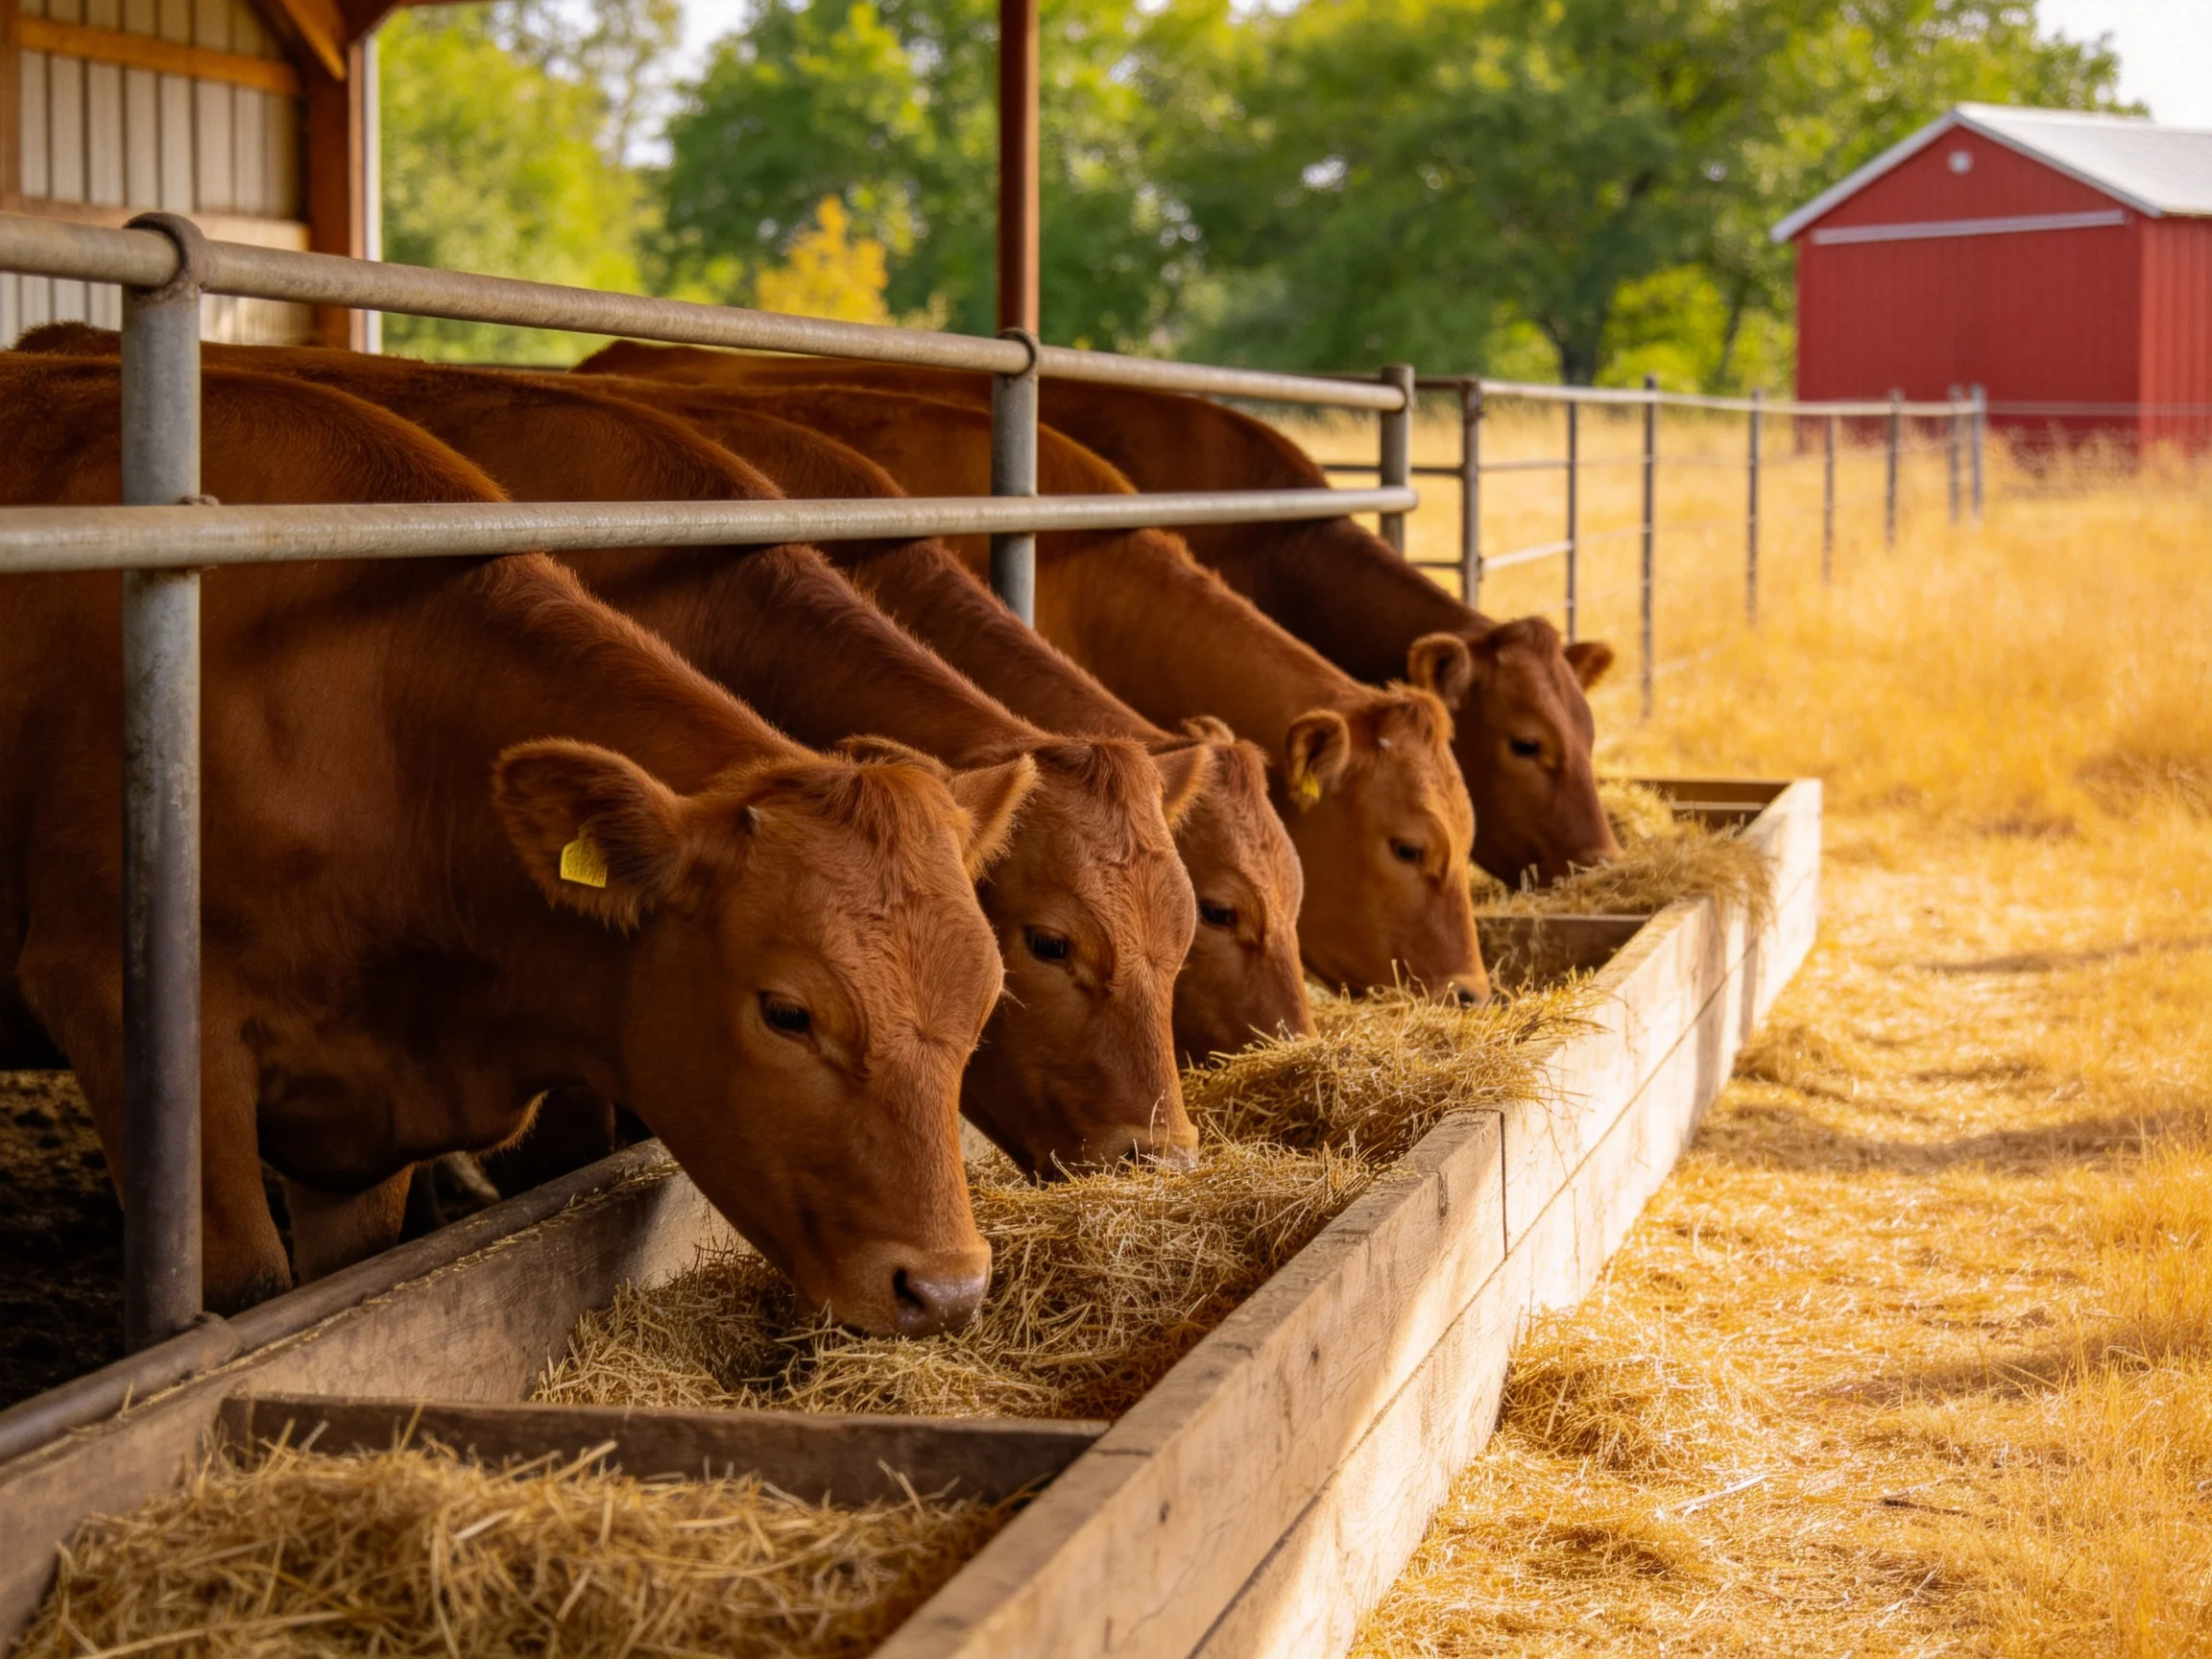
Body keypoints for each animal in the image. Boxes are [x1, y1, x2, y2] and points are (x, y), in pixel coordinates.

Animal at [0, 353, 1020, 1332]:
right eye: (787, 1013)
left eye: (985, 1004)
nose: (948, 1290)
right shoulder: (129, 1020)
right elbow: (248, 1289)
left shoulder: (360, 1108)